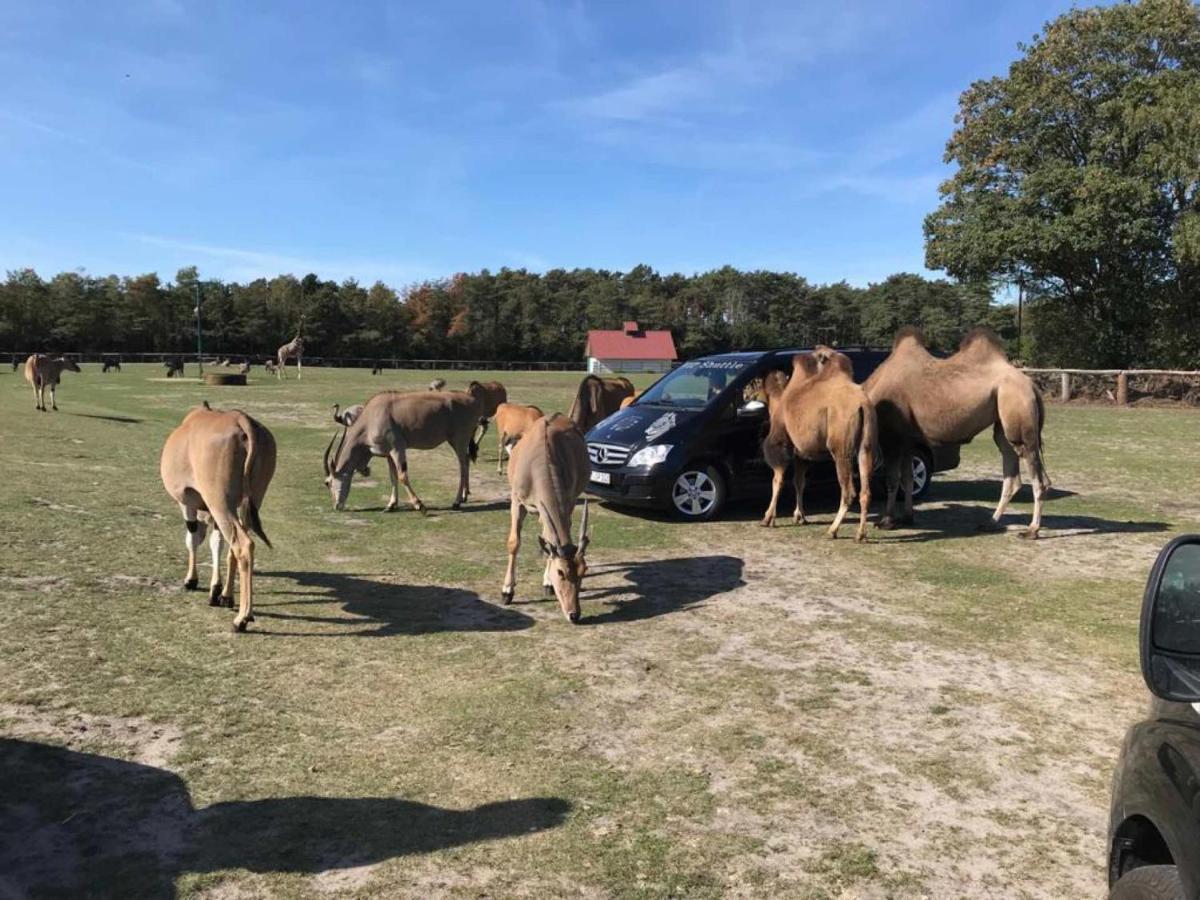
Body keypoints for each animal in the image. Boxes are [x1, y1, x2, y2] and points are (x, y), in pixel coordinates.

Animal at [159, 405, 276, 628]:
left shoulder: (187, 503)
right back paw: (228, 597)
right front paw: (218, 592)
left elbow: (193, 539)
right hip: (248, 505)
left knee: (244, 545)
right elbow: (218, 543)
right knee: (234, 546)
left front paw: (192, 580)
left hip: (220, 503)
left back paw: (242, 618)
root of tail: (242, 420)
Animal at [326, 388, 484, 511]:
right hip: (456, 441)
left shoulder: (397, 448)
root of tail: (472, 400)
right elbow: (393, 476)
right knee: (466, 461)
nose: (336, 506)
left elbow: (402, 476)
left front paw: (419, 505)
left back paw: (456, 501)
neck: (371, 417)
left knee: (463, 465)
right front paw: (391, 505)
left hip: (459, 439)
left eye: (327, 483)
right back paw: (464, 496)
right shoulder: (388, 454)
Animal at [499, 417, 592, 624]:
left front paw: (547, 583)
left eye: (584, 570)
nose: (574, 614)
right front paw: (507, 591)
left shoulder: (568, 502)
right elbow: (514, 543)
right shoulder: (517, 502)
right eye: (561, 572)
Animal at [763, 348, 878, 542]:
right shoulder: (801, 454)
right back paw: (860, 534)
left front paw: (768, 518)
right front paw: (799, 516)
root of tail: (862, 404)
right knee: (865, 491)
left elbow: (777, 479)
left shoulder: (782, 440)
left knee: (848, 491)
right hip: (866, 446)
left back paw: (832, 530)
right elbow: (798, 482)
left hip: (841, 449)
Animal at [864, 328, 1051, 540]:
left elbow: (892, 480)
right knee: (1012, 473)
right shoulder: (908, 440)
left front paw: (886, 521)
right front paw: (907, 518)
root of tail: (1032, 385)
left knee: (1038, 476)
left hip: (1019, 414)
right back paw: (990, 523)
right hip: (1003, 423)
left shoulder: (893, 437)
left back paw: (1031, 530)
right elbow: (908, 479)